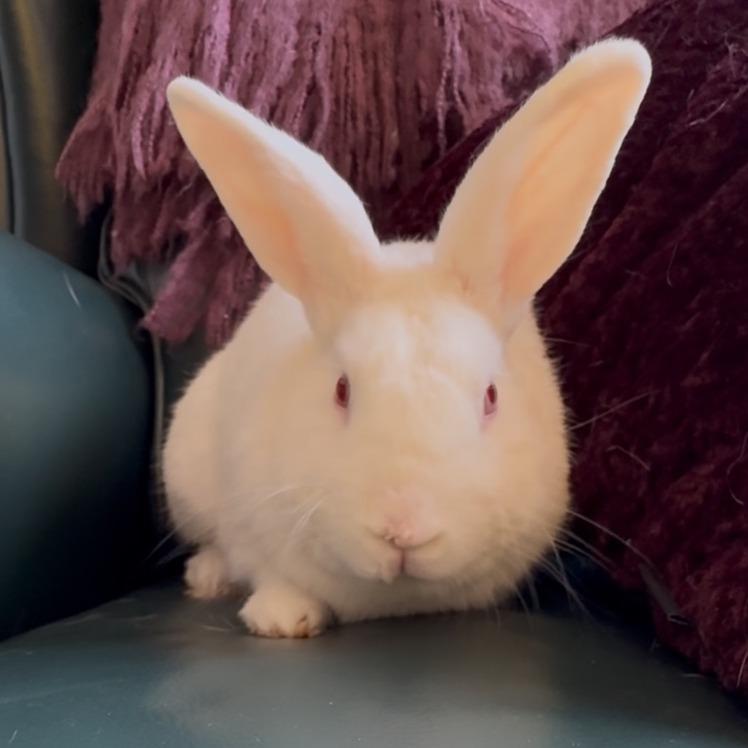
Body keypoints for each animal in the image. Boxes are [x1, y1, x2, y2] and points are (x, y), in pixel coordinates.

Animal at [162, 38, 651, 638]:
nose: (403, 530)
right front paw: (281, 618)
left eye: (491, 398)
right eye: (342, 390)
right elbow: (265, 569)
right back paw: (207, 577)